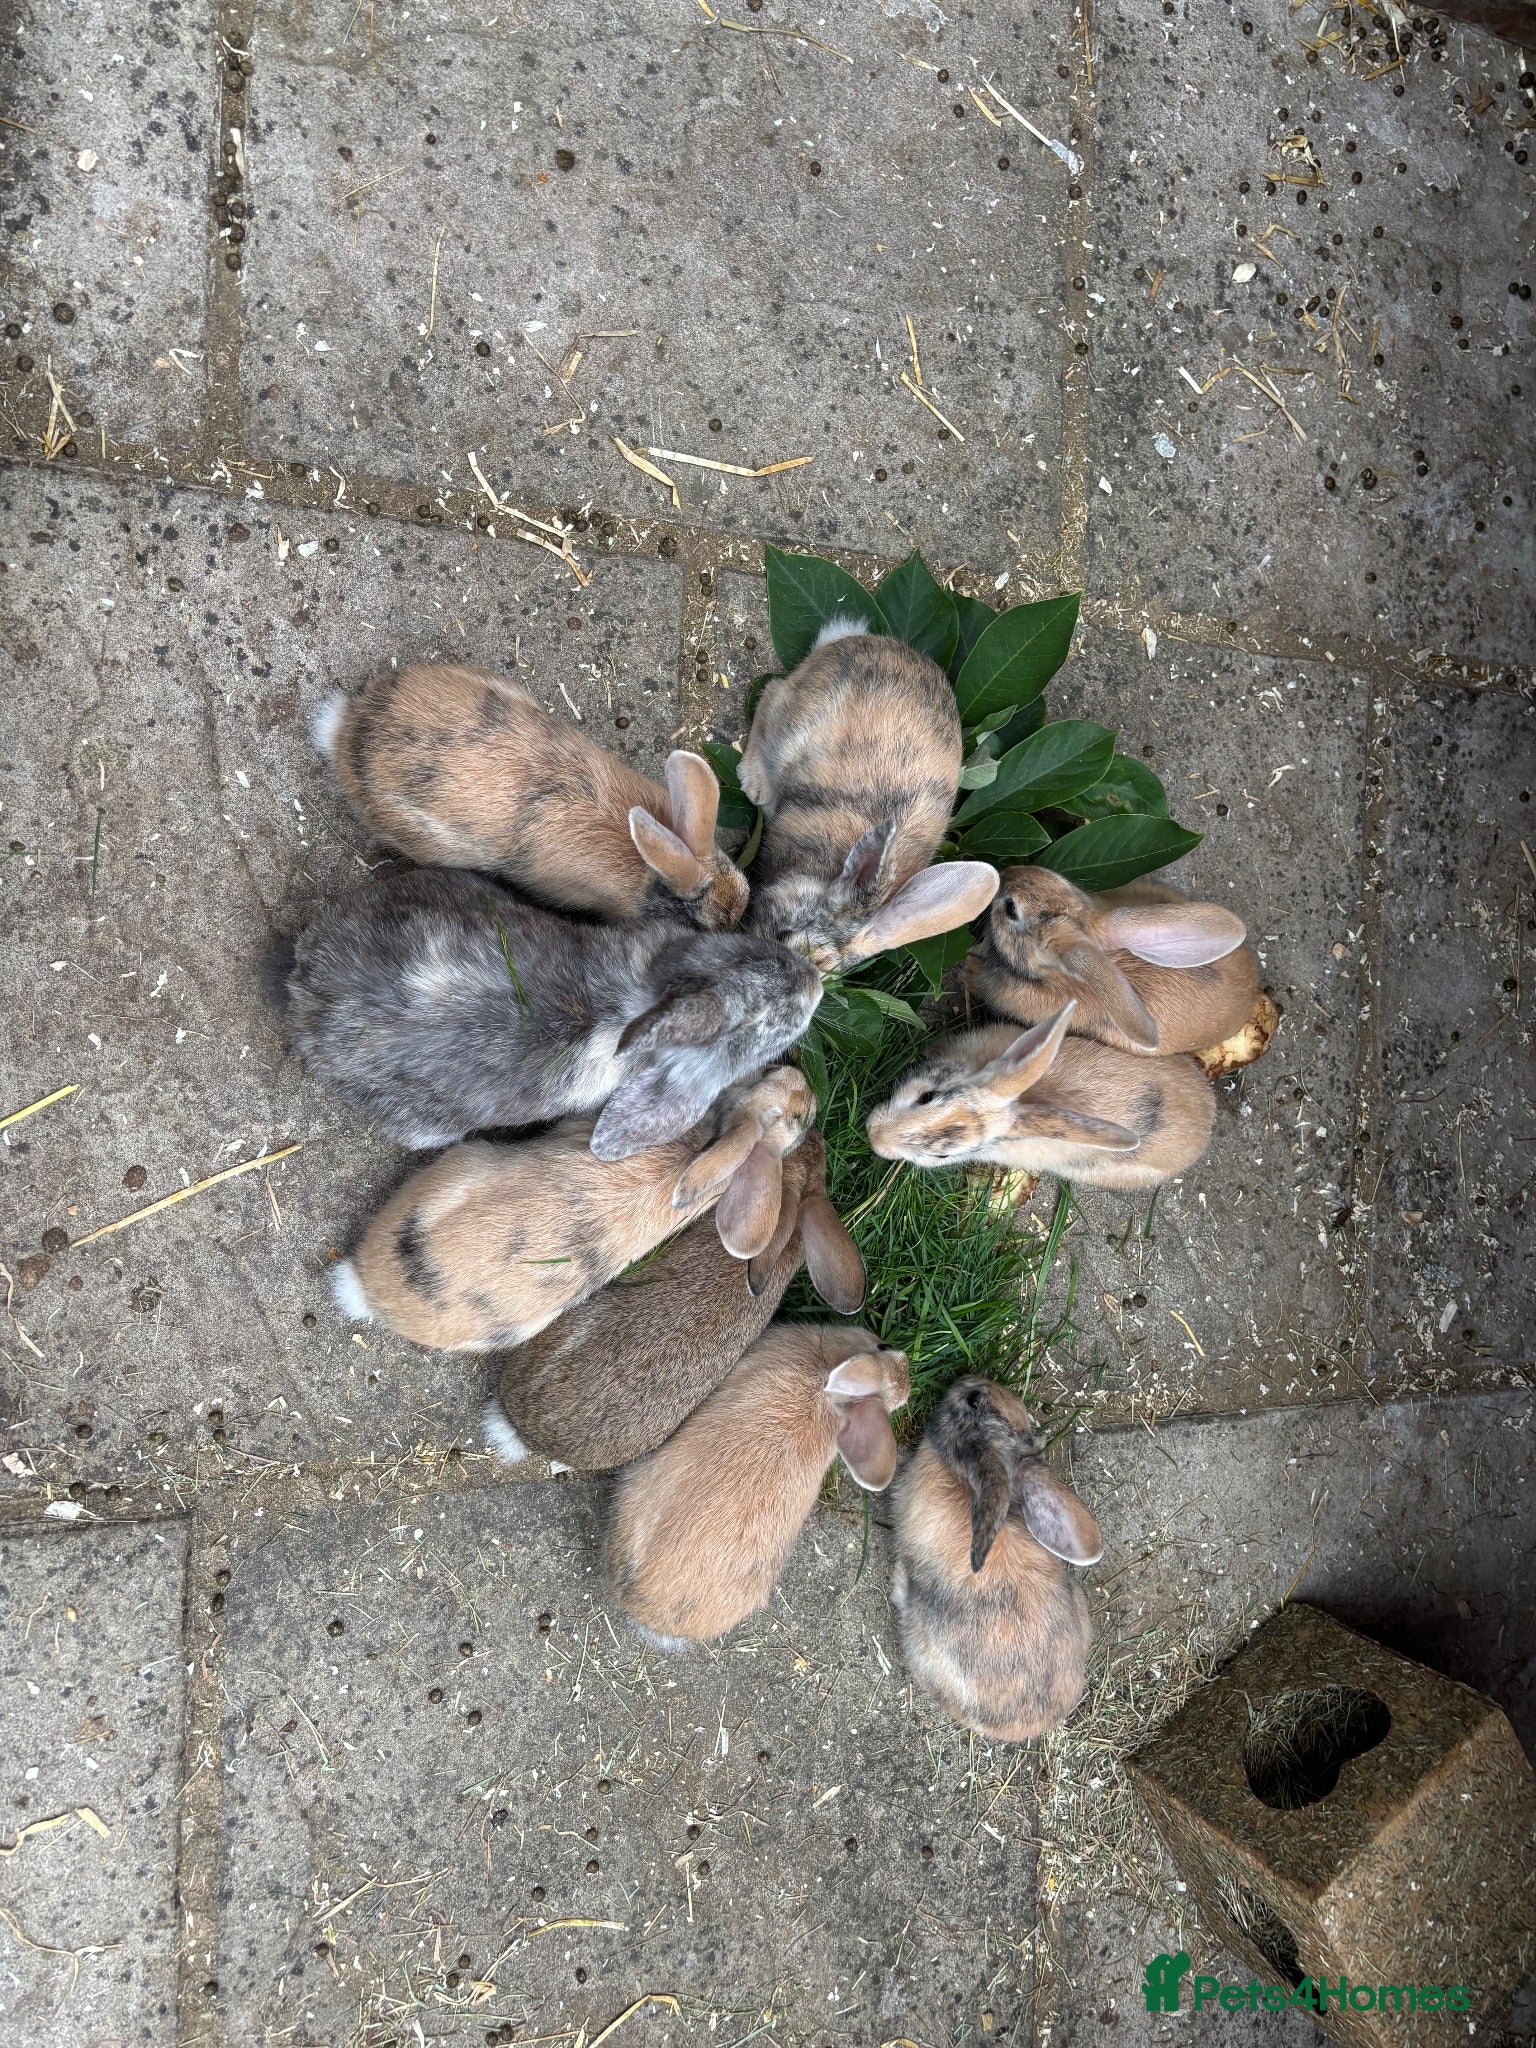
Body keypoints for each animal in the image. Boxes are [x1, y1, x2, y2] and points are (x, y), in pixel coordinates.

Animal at [737, 623, 999, 971]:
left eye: (827, 974)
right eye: (784, 934)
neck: (822, 874)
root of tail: (853, 639)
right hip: (792, 725)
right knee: (771, 693)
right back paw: (756, 785)